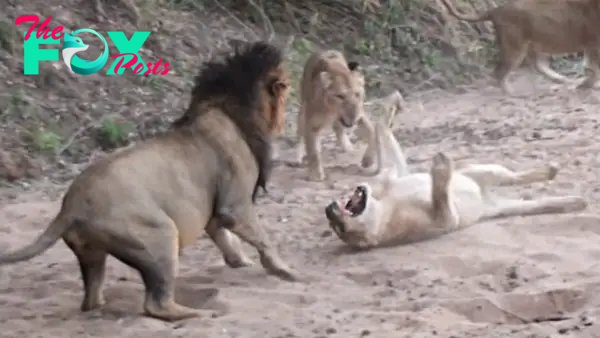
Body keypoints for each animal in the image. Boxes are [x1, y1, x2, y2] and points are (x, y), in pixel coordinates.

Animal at [0, 41, 298, 322]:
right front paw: (284, 270)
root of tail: (70, 206)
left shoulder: (214, 211)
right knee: (156, 304)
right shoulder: (234, 205)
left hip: (93, 255)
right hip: (161, 234)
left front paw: (242, 263)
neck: (224, 106)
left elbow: (227, 239)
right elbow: (262, 237)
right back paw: (200, 314)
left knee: (92, 300)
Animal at [294, 49, 376, 181]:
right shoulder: (312, 123)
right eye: (340, 96)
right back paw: (297, 157)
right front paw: (316, 174)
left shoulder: (360, 114)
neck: (332, 110)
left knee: (338, 128)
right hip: (303, 107)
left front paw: (368, 160)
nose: (353, 118)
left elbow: (372, 130)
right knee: (300, 134)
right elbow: (313, 151)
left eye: (357, 94)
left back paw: (347, 146)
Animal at [326, 117, 588, 250]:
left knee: (512, 176)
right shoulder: (441, 221)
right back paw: (574, 200)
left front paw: (373, 119)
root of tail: (489, 202)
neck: (384, 208)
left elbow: (390, 161)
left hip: (483, 170)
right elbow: (441, 200)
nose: (328, 209)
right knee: (526, 194)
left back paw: (551, 172)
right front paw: (440, 170)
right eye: (339, 229)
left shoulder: (392, 176)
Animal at [438, 0, 600, 94]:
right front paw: (588, 85)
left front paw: (587, 84)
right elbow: (595, 68)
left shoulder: (591, 45)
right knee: (498, 72)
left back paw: (566, 81)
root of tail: (496, 10)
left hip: (535, 45)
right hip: (515, 46)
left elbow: (592, 67)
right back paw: (513, 93)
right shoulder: (594, 43)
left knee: (539, 66)